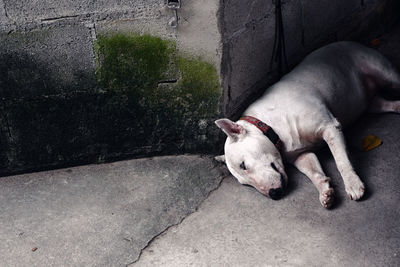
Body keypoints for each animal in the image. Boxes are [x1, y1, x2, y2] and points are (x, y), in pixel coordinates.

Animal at [216, 42, 400, 209]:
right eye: (244, 183)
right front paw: (325, 193)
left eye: (243, 165)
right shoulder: (302, 155)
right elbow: (313, 172)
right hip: (373, 104)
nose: (274, 194)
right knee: (387, 104)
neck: (270, 126)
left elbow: (341, 161)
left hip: (383, 72)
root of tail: (353, 42)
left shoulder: (330, 127)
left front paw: (353, 185)